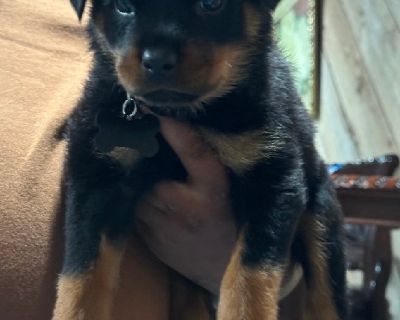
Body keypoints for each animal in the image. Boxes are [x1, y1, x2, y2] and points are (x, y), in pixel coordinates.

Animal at [54, 0, 346, 318]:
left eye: (211, 4)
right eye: (122, 7)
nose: (157, 60)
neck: (185, 114)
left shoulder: (273, 176)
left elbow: (247, 281)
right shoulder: (96, 179)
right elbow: (81, 280)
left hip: (322, 211)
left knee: (325, 294)